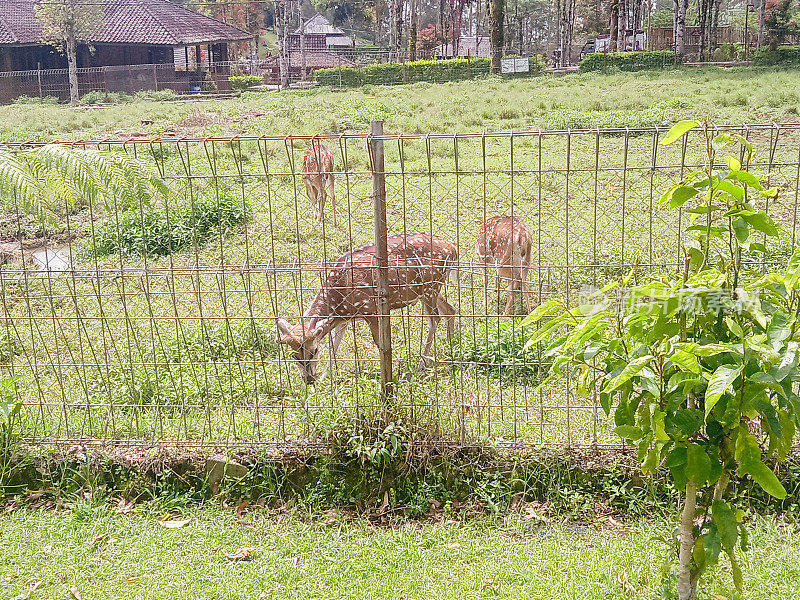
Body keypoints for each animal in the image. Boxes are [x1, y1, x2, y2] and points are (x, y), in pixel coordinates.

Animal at [278, 232, 460, 382]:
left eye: (315, 350)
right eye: (294, 356)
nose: (309, 379)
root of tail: (453, 247)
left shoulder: (370, 309)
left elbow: (380, 345)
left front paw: (389, 375)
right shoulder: (342, 320)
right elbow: (333, 347)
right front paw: (325, 379)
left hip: (431, 285)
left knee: (435, 319)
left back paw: (421, 363)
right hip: (427, 290)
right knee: (450, 310)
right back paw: (451, 347)